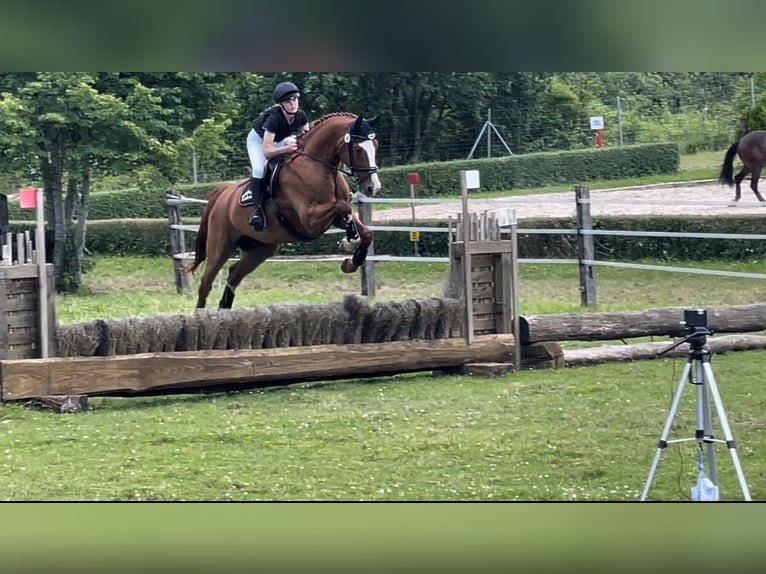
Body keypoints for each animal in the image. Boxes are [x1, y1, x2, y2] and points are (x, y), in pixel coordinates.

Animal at [187, 112, 381, 310]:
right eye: (358, 149)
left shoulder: (332, 218)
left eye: (375, 145)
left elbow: (363, 230)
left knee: (234, 274)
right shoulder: (310, 219)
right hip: (220, 247)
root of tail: (223, 193)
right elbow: (343, 206)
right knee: (205, 283)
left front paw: (350, 259)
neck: (318, 165)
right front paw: (348, 243)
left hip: (261, 249)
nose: (372, 187)